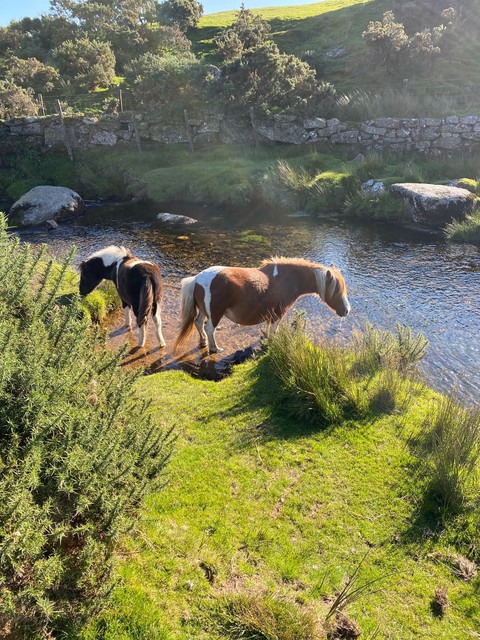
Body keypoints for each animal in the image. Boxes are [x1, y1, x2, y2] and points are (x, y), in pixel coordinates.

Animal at [174, 257, 350, 354]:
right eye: (336, 290)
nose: (346, 310)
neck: (287, 279)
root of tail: (197, 279)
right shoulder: (279, 312)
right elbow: (274, 329)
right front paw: (271, 343)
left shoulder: (270, 312)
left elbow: (267, 327)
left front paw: (265, 338)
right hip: (215, 314)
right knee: (210, 329)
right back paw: (215, 348)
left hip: (204, 311)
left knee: (198, 323)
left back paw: (203, 342)